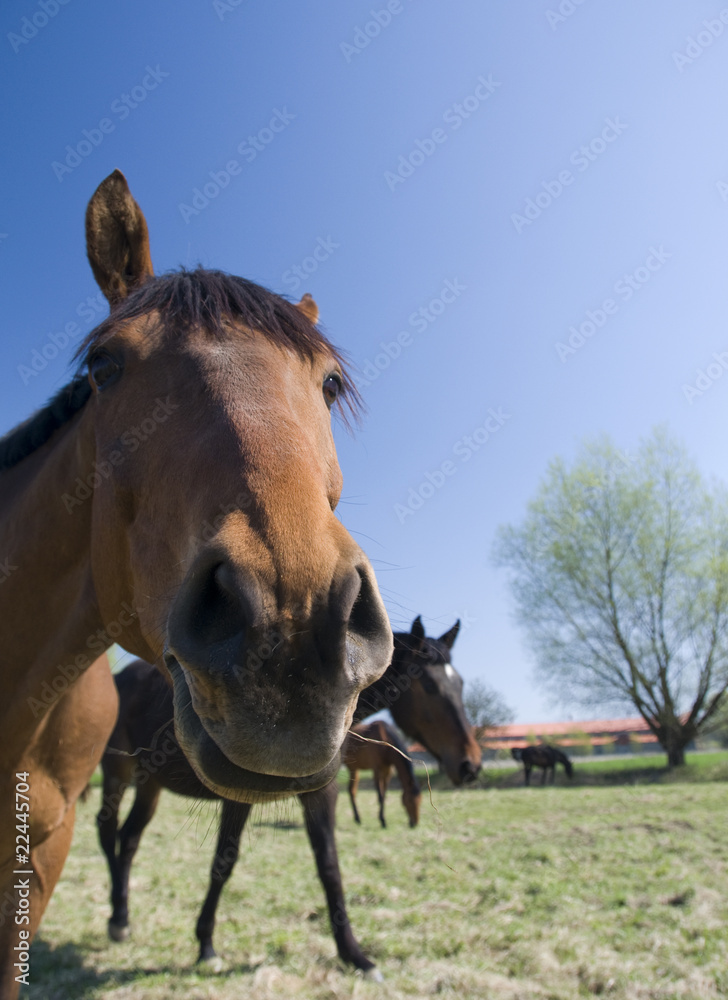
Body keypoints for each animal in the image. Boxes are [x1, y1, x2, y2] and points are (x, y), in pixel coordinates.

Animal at [97, 618, 479, 978]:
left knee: (129, 839)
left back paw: (123, 915)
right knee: (107, 831)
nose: (471, 764)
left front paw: (354, 955)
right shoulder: (239, 795)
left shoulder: (321, 794)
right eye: (428, 685)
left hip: (150, 783)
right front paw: (206, 945)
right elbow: (222, 865)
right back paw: (116, 920)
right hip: (116, 773)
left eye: (459, 683)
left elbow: (329, 867)